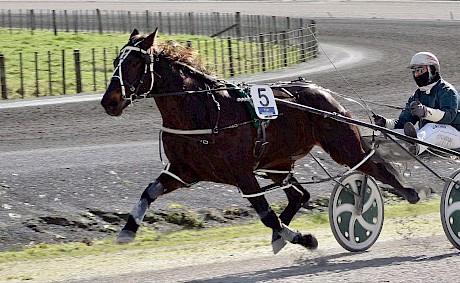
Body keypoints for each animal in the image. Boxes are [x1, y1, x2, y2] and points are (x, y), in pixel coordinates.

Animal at [101, 28, 424, 254]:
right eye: (115, 61)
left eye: (134, 63)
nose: (109, 102)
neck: (204, 111)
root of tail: (321, 91)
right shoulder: (184, 171)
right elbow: (148, 192)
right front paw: (127, 230)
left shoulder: (243, 174)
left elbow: (266, 215)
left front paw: (305, 239)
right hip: (277, 164)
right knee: (300, 195)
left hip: (342, 144)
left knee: (375, 166)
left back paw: (408, 193)